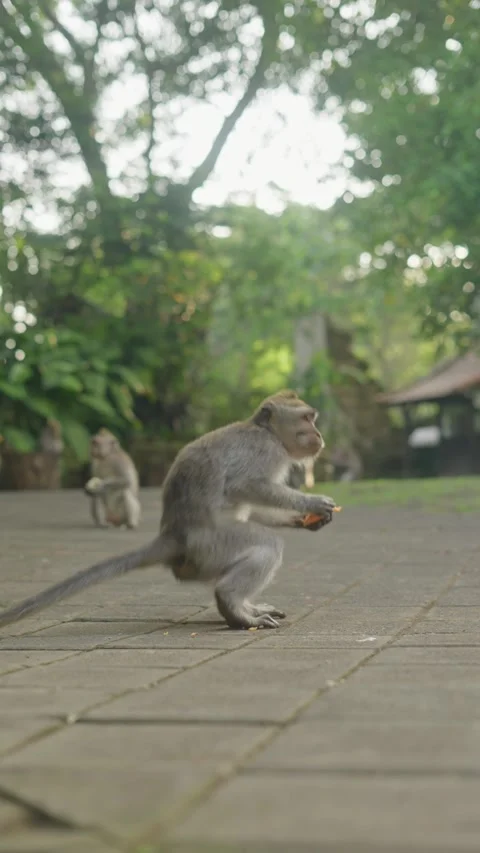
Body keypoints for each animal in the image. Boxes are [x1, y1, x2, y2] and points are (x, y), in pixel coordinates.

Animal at [0, 390, 337, 632]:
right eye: (307, 418)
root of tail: (173, 536)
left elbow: (252, 506)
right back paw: (234, 607)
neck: (267, 432)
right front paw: (312, 503)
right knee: (266, 545)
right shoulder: (265, 451)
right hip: (212, 546)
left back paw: (246, 607)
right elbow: (246, 485)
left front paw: (301, 519)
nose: (320, 435)